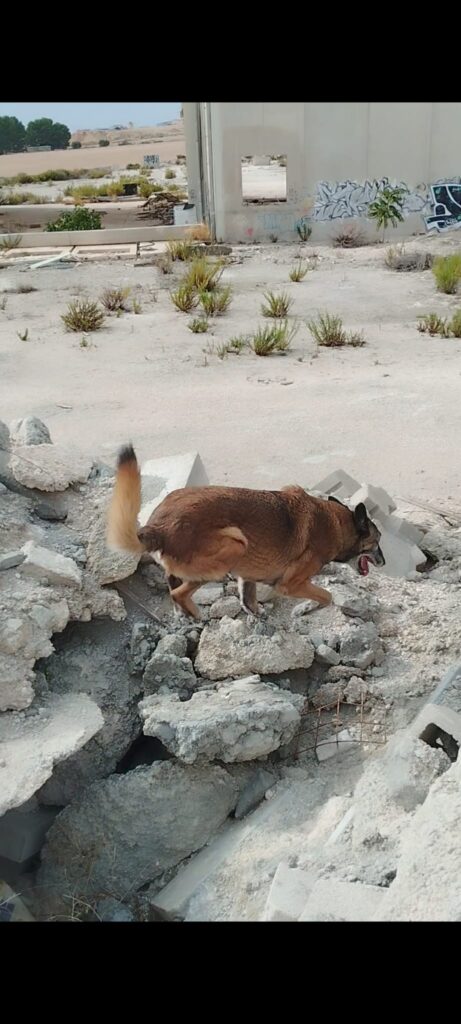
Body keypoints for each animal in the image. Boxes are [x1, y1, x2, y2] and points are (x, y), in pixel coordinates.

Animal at [106, 446, 383, 614]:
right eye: (377, 541)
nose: (384, 561)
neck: (337, 523)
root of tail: (158, 527)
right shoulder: (290, 584)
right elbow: (326, 596)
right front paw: (306, 608)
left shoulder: (249, 577)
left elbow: (249, 600)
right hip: (235, 544)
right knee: (178, 593)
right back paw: (193, 613)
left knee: (173, 584)